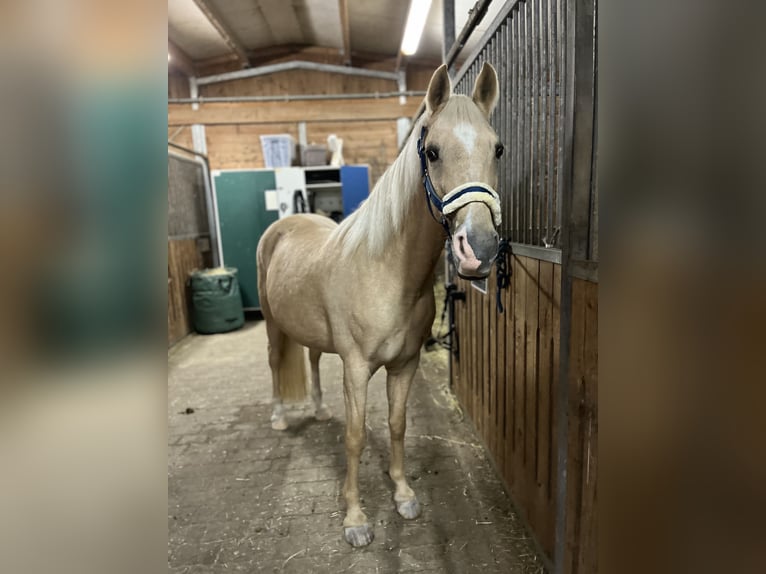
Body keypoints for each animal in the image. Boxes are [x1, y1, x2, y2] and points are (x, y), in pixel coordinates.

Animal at [260, 64, 504, 548]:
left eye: (498, 149)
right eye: (432, 151)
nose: (479, 250)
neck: (387, 272)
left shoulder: (404, 365)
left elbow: (396, 424)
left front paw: (403, 495)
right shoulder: (356, 368)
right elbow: (355, 436)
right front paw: (355, 519)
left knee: (311, 359)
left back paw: (317, 409)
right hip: (272, 324)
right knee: (277, 364)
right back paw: (280, 418)